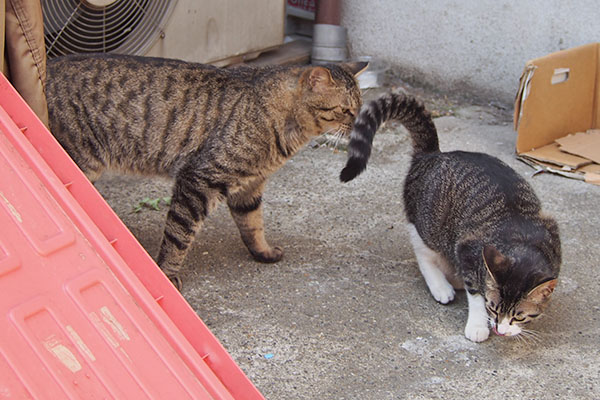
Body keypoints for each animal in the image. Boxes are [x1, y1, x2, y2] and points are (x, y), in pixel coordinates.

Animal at [47, 54, 366, 290]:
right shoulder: (199, 179)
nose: (359, 123)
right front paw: (167, 273)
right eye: (345, 110)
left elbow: (253, 224)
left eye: (361, 106)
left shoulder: (250, 186)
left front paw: (262, 252)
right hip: (83, 160)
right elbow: (178, 235)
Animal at [342, 92, 564, 342]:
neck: (522, 240)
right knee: (424, 252)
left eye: (519, 316)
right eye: (493, 308)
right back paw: (441, 285)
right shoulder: (468, 248)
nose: (500, 329)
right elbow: (475, 293)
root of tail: (432, 155)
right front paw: (477, 325)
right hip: (429, 225)